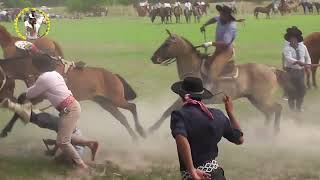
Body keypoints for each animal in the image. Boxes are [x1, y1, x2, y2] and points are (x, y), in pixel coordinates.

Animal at [149, 30, 294, 134]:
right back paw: (263, 131)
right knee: (269, 113)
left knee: (277, 108)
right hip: (255, 99)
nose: (153, 58)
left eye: (167, 44)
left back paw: (274, 131)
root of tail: (271, 70)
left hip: (262, 98)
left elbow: (168, 111)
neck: (195, 69)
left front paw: (149, 131)